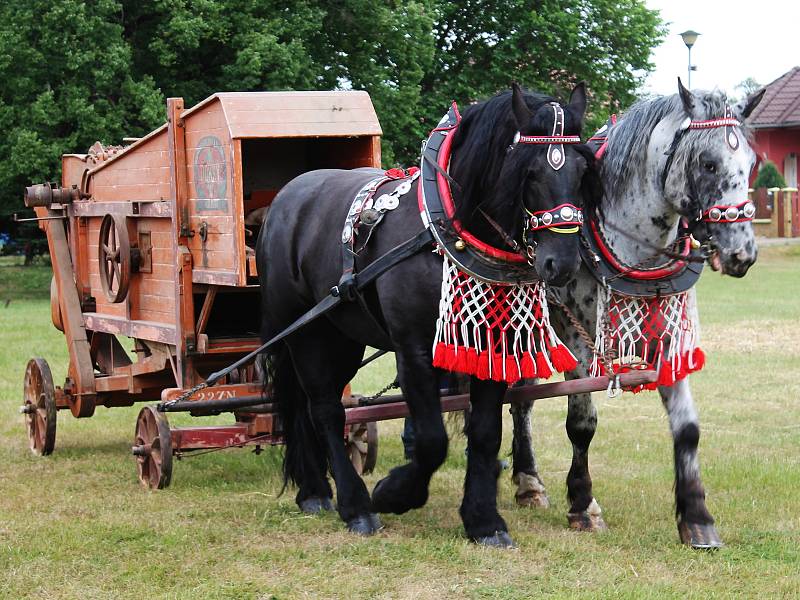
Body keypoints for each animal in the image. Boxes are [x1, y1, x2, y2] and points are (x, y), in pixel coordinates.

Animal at [256, 83, 600, 548]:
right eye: (527, 173)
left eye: (582, 172)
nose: (561, 264)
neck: (447, 231)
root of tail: (286, 197)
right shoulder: (413, 350)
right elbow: (433, 439)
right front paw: (393, 493)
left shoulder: (491, 347)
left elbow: (486, 433)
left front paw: (484, 521)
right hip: (303, 331)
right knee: (324, 409)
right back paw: (353, 505)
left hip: (342, 334)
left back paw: (315, 490)